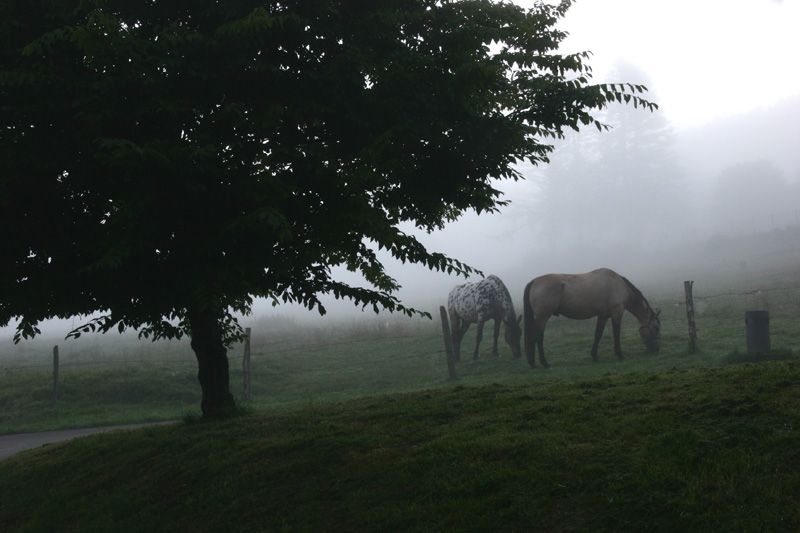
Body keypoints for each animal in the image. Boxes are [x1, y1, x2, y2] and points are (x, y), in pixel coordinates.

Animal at [520, 268, 660, 368]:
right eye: (656, 327)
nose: (656, 350)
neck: (619, 285)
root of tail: (534, 281)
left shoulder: (603, 315)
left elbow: (598, 334)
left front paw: (594, 356)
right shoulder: (617, 313)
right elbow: (616, 334)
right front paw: (620, 355)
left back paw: (532, 362)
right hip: (542, 317)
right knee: (538, 338)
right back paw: (545, 363)